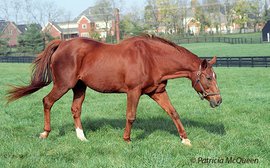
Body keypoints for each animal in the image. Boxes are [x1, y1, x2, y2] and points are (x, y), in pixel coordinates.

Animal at [7, 34, 221, 146]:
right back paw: (45, 133)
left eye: (214, 76)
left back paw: (82, 137)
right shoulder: (134, 92)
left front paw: (185, 139)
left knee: (75, 109)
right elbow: (131, 116)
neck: (151, 58)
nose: (218, 100)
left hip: (79, 87)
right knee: (47, 102)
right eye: (209, 78)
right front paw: (127, 140)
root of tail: (63, 43)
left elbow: (173, 113)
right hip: (62, 85)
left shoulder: (157, 92)